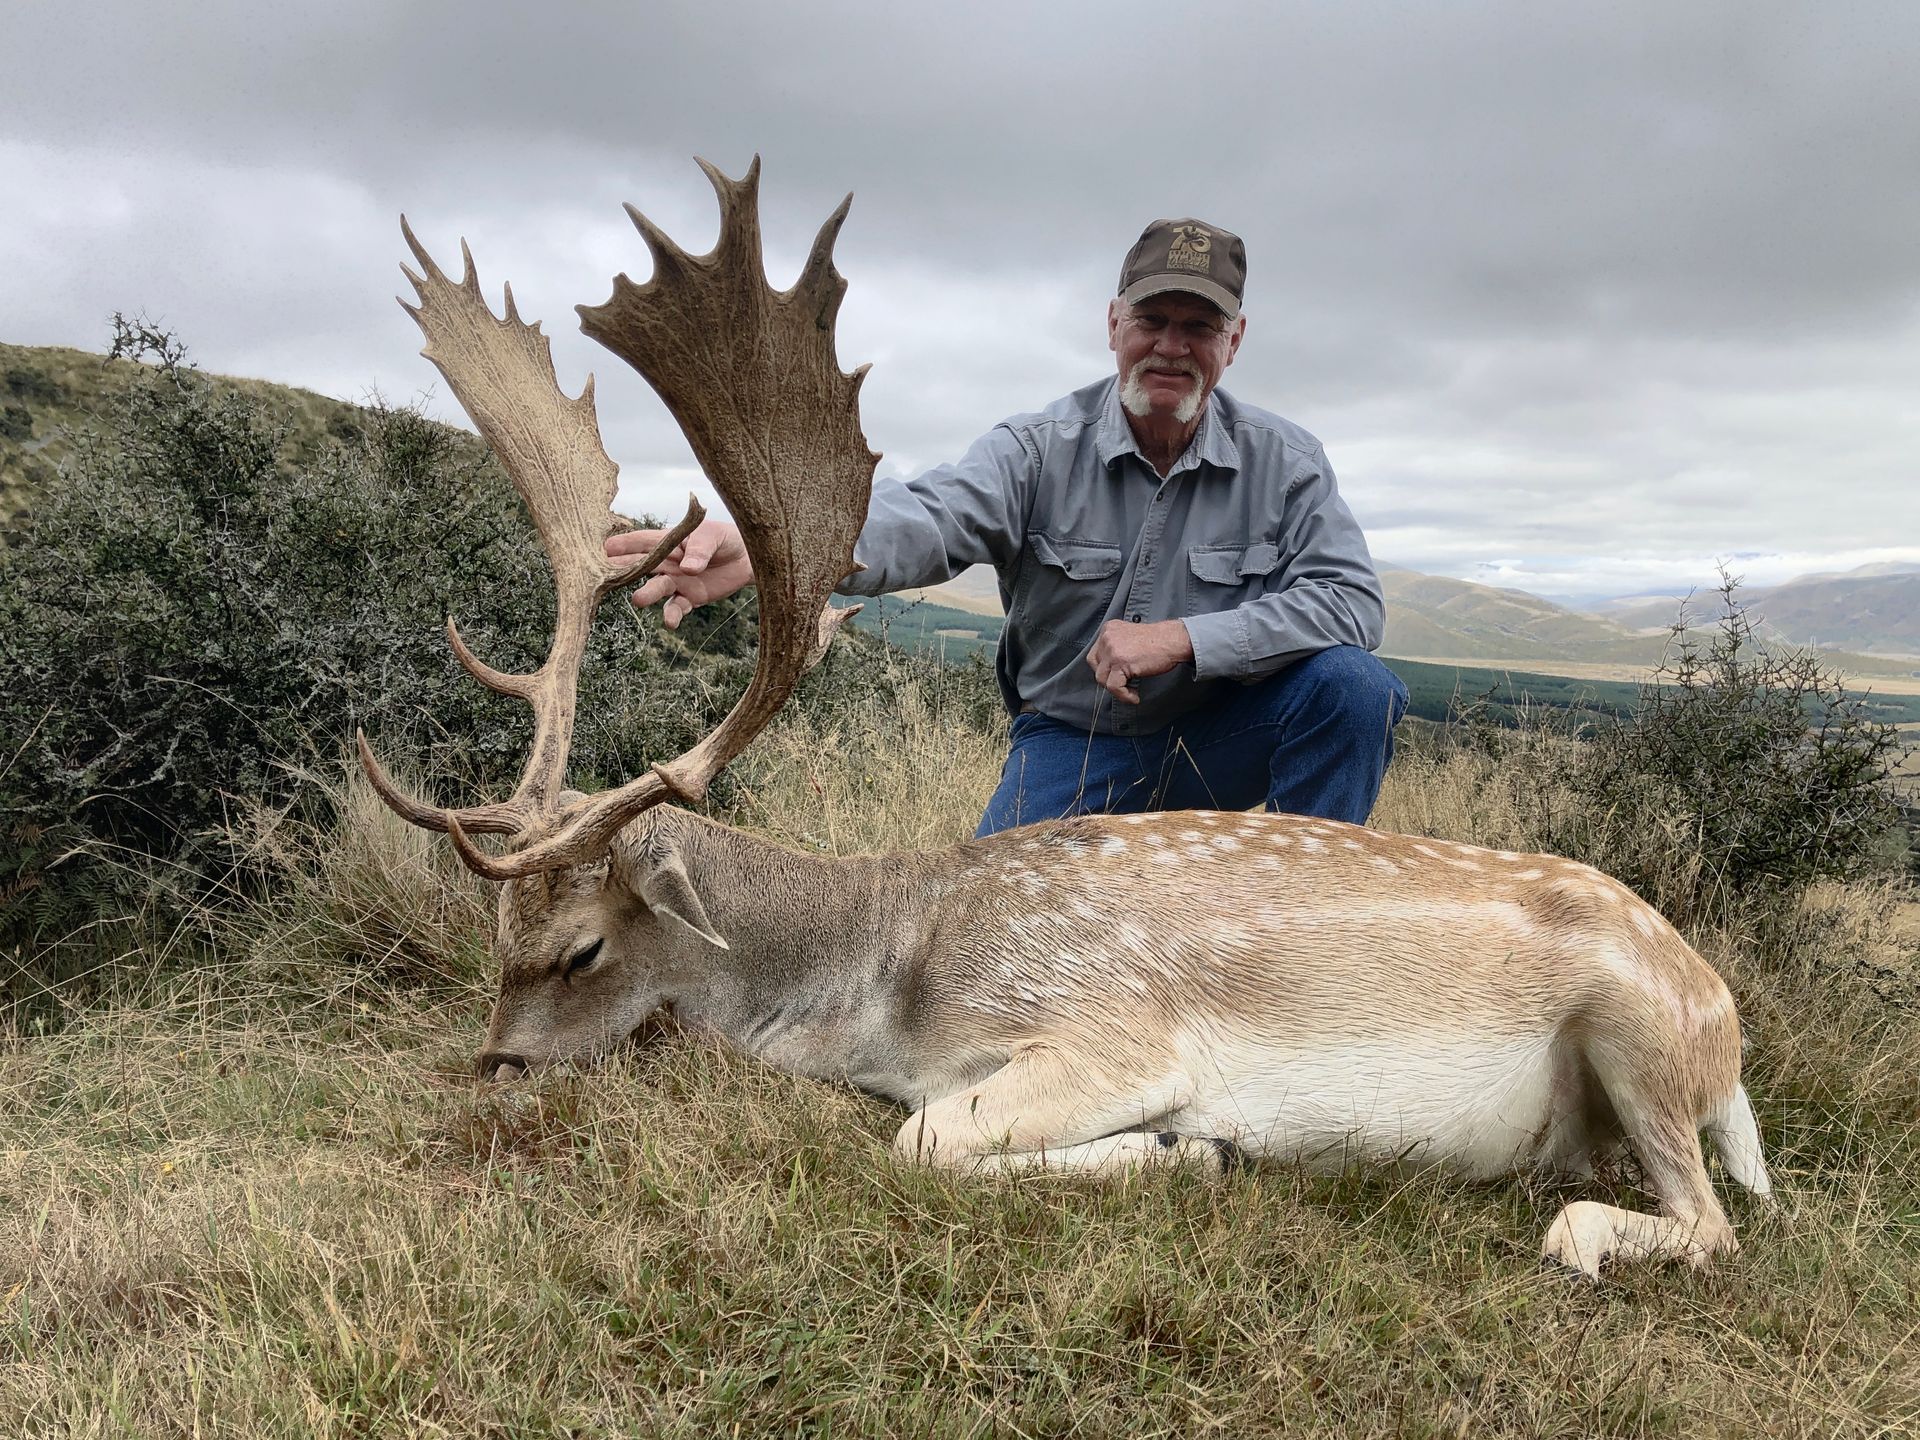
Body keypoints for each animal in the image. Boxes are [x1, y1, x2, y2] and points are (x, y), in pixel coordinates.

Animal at [359, 158, 1773, 1281]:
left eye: (583, 949)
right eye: (496, 932)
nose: (493, 1070)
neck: (892, 982)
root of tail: (1728, 1029)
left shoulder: (1111, 1029)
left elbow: (923, 1140)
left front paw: (1185, 1151)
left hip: (1639, 1032)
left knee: (1717, 1222)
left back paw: (1580, 1233)